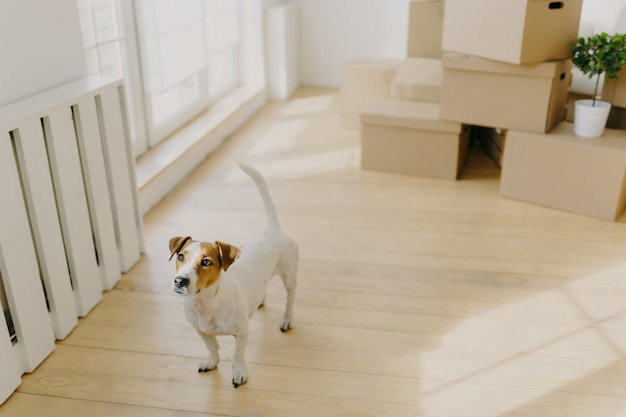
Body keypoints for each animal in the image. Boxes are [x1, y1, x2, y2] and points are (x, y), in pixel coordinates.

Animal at [168, 162, 298, 386]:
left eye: (206, 262)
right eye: (181, 256)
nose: (180, 281)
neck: (207, 303)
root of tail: (273, 228)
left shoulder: (242, 332)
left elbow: (238, 354)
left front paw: (238, 372)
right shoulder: (200, 330)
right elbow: (212, 347)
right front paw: (212, 361)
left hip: (289, 276)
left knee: (290, 298)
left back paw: (286, 319)